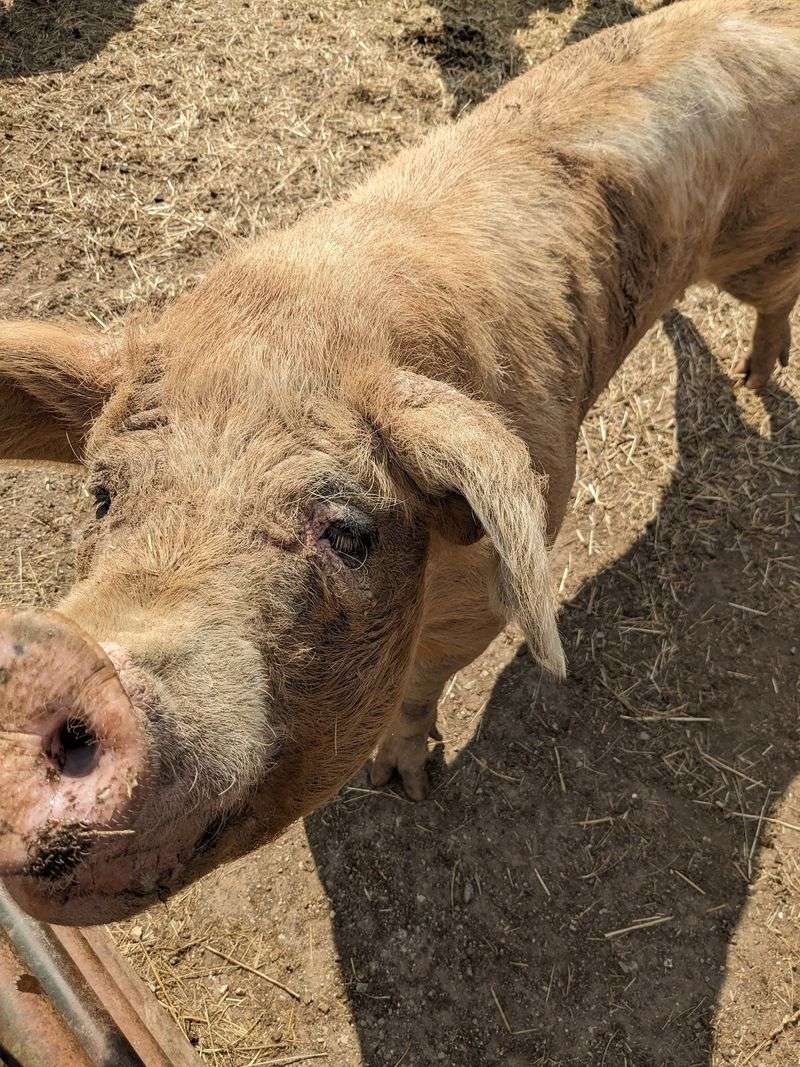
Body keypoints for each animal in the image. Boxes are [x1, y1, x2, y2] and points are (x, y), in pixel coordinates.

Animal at [1, 0, 799, 924]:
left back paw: (759, 373)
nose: (50, 661)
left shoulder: (486, 590)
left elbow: (425, 681)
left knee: (776, 299)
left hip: (757, 244)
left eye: (349, 532)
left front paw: (404, 782)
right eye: (101, 493)